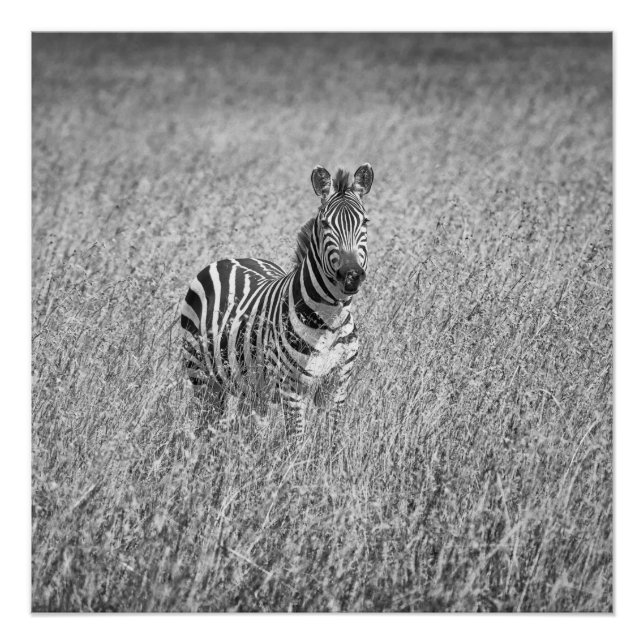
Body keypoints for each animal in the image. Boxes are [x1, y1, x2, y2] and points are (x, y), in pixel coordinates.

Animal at [180, 163, 374, 434]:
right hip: (201, 377)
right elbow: (297, 439)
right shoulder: (290, 387)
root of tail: (230, 259)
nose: (352, 275)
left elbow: (330, 438)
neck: (329, 321)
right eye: (325, 224)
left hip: (250, 387)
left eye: (365, 222)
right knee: (205, 425)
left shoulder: (337, 386)